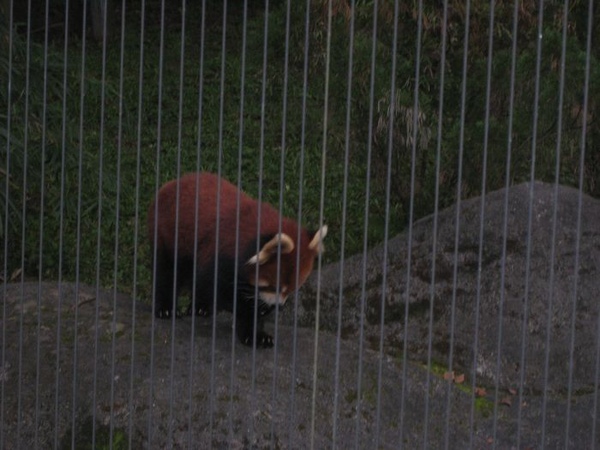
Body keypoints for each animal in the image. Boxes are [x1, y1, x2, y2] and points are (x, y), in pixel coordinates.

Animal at [149, 172, 328, 348]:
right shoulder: (219, 253)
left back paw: (201, 307)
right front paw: (253, 327)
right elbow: (217, 288)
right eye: (274, 287)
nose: (278, 306)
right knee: (167, 271)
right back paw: (166, 309)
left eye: (290, 290)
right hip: (167, 232)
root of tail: (173, 183)